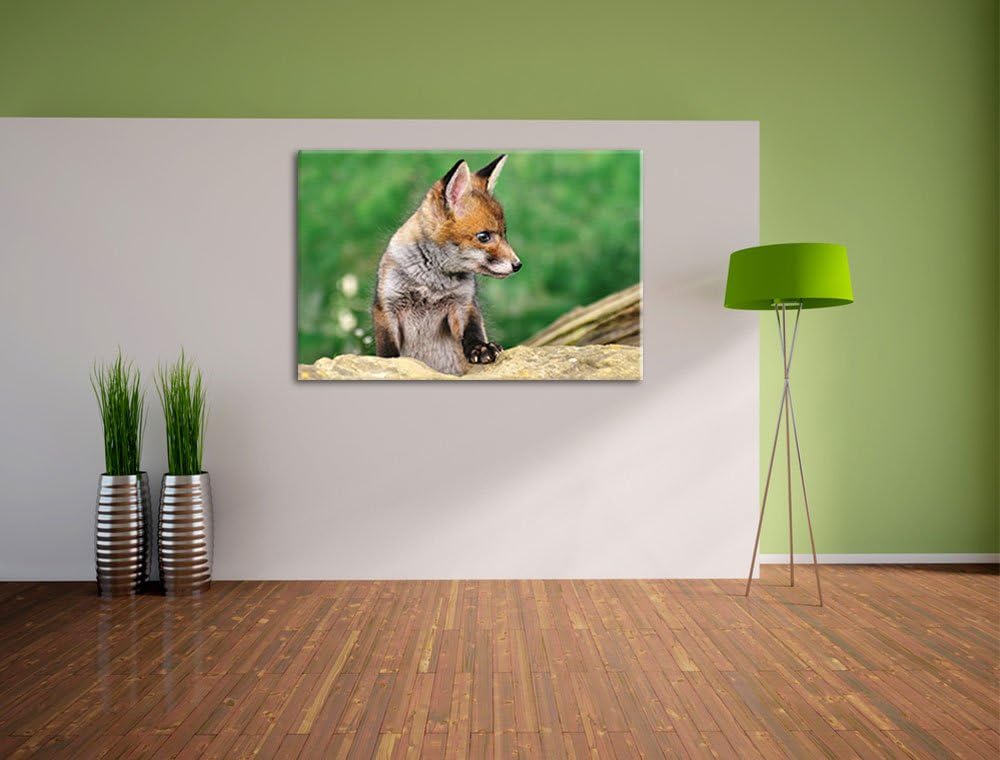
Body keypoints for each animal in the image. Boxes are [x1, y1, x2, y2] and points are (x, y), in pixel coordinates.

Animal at [371, 155, 522, 376]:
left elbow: (473, 331)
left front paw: (481, 348)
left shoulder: (463, 305)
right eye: (484, 237)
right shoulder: (387, 306)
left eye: (504, 234)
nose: (518, 264)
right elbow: (388, 350)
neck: (431, 284)